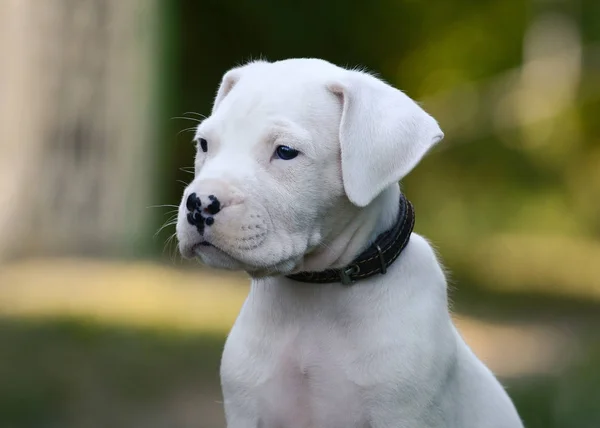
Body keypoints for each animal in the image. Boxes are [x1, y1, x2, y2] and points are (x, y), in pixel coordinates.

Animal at [176, 57, 524, 428]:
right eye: (204, 144)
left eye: (285, 152)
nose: (199, 203)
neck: (318, 293)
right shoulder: (246, 411)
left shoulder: (405, 413)